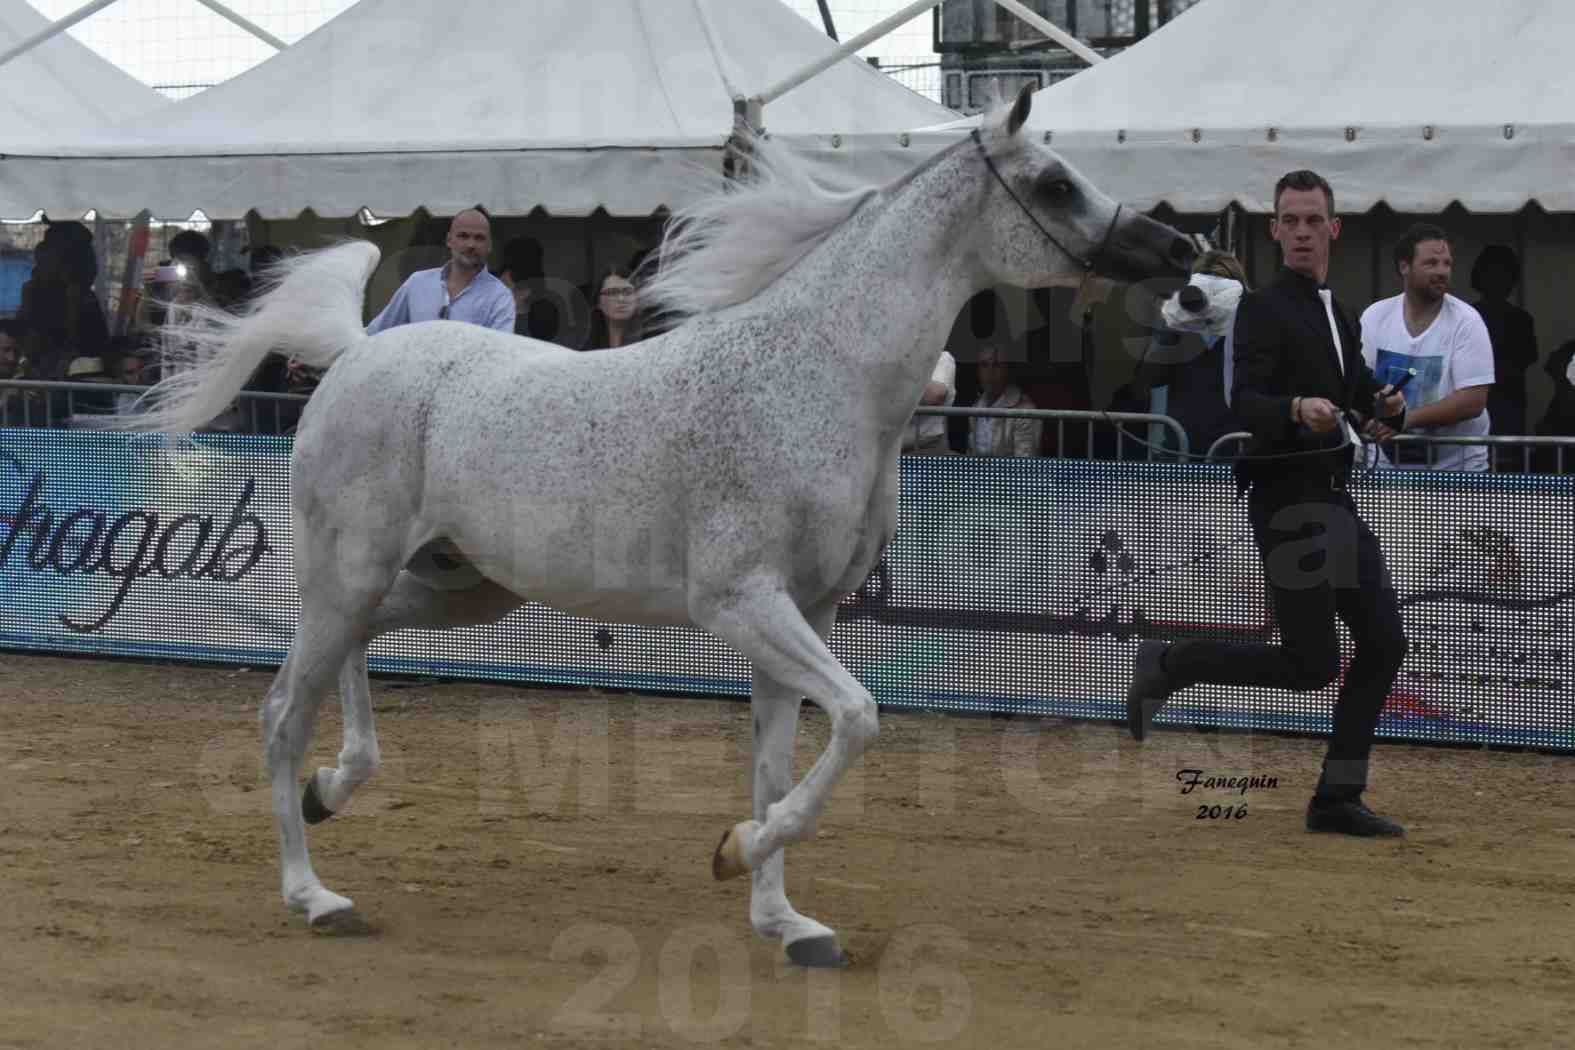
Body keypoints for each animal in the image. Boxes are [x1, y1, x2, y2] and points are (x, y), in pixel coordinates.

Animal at [122, 90, 1190, 969]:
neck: (819, 377)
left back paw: (335, 787)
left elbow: (777, 764)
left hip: (458, 588)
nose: (1179, 255)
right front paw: (733, 854)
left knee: (353, 652)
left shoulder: (806, 616)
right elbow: (858, 720)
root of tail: (356, 352)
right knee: (279, 713)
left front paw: (783, 922)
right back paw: (315, 895)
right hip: (353, 571)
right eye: (1054, 183)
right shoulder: (742, 604)